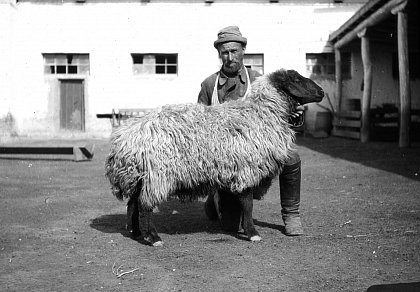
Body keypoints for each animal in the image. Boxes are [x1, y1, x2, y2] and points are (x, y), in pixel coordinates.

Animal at [105, 69, 324, 246]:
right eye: (296, 79)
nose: (321, 92)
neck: (260, 114)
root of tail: (125, 138)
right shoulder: (246, 169)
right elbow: (248, 204)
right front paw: (252, 233)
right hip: (157, 176)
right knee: (144, 206)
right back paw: (153, 238)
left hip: (140, 177)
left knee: (133, 204)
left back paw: (137, 234)